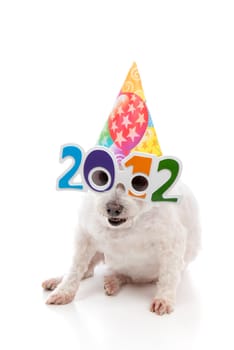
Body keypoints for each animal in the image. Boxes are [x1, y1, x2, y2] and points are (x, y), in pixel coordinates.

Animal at [42, 182, 199, 316]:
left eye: (139, 183)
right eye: (101, 178)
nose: (112, 208)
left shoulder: (172, 241)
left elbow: (169, 276)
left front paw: (164, 299)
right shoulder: (85, 235)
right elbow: (75, 269)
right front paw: (63, 292)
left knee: (125, 276)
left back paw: (113, 281)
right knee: (88, 271)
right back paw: (56, 281)